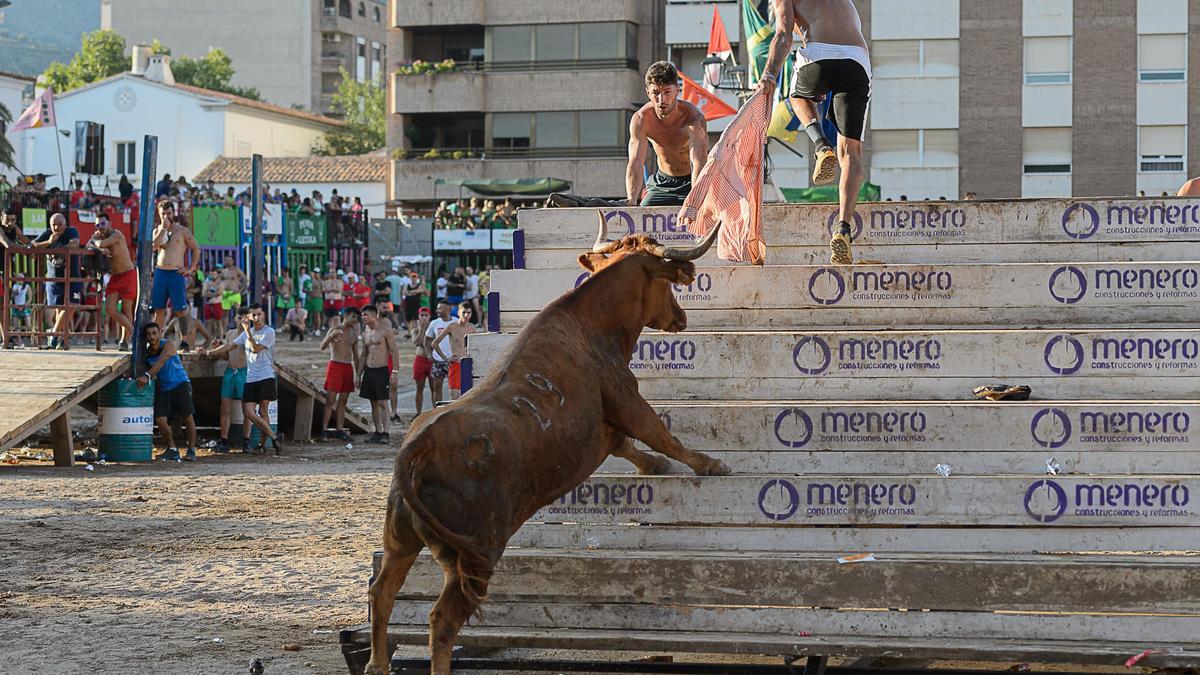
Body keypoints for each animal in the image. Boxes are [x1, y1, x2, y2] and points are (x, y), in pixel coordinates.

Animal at [364, 214, 724, 672]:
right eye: (666, 284)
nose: (680, 317)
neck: (589, 323)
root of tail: (418, 446)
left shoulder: (604, 428)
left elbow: (626, 444)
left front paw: (654, 466)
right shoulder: (627, 397)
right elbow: (659, 433)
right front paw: (708, 463)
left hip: (401, 541)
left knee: (383, 592)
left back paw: (377, 662)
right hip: (477, 554)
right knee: (441, 620)